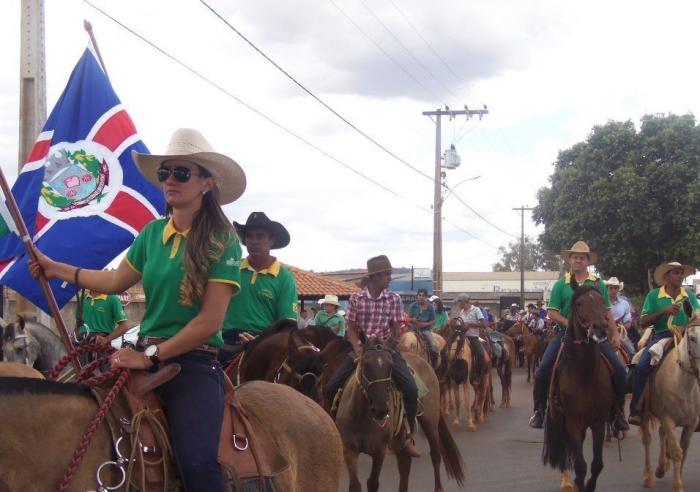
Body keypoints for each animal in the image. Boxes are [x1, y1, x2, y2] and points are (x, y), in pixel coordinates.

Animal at [334, 336, 464, 492]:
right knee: (404, 463)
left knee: (435, 454)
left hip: (430, 423)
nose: (381, 409)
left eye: (391, 366)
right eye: (366, 364)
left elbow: (372, 483)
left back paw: (438, 487)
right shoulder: (349, 450)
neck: (361, 416)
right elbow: (355, 485)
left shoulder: (379, 451)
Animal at [540, 284, 612, 492]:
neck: (585, 374)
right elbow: (580, 465)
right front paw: (579, 484)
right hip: (559, 418)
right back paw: (566, 481)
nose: (601, 328)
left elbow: (597, 464)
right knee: (563, 450)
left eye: (602, 301)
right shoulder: (572, 421)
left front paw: (588, 485)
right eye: (579, 303)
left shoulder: (598, 422)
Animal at [640, 324, 700, 490]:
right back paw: (648, 477)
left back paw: (662, 467)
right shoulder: (668, 418)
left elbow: (683, 450)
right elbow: (676, 451)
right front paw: (678, 485)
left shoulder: (691, 423)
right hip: (644, 415)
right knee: (647, 440)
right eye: (692, 338)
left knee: (661, 433)